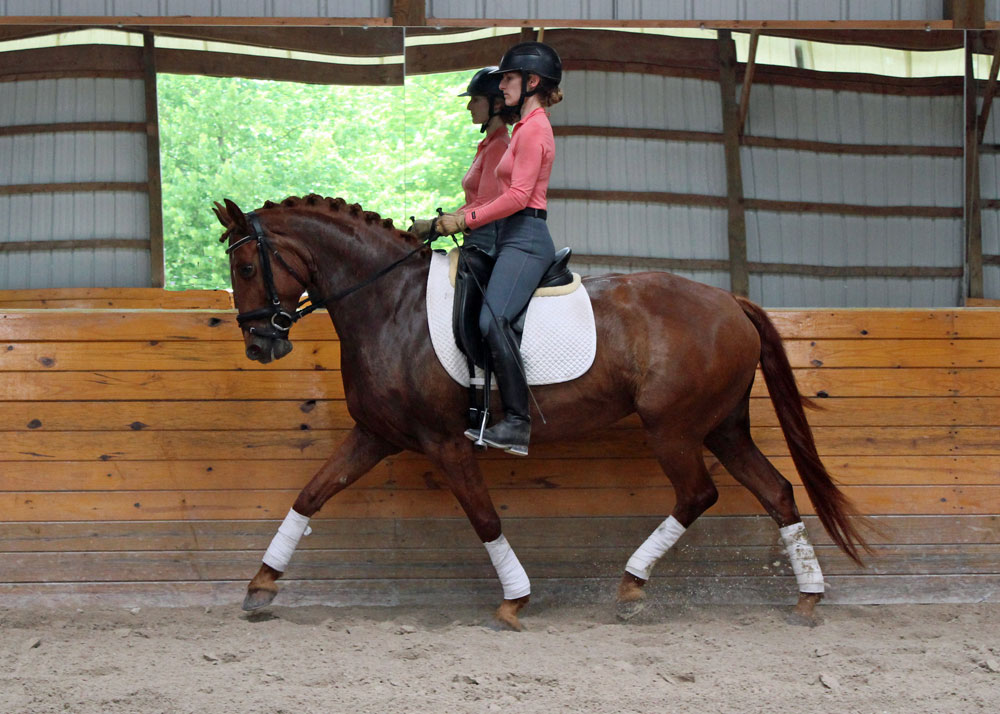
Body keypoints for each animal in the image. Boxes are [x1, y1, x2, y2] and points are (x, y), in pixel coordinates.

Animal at [213, 195, 868, 628]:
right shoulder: (376, 434)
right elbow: (310, 494)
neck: (389, 305)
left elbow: (484, 518)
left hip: (673, 427)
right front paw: (261, 585)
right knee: (777, 491)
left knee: (697, 495)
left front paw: (515, 598)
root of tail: (729, 300)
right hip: (723, 428)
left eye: (245, 268)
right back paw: (808, 597)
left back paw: (631, 587)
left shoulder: (445, 442)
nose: (260, 344)